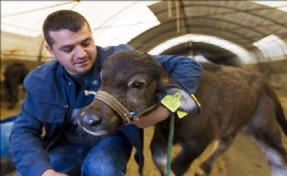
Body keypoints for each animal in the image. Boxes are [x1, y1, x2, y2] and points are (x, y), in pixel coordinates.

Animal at [77, 50, 287, 175]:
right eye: (102, 79)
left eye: (137, 84)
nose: (88, 120)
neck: (175, 121)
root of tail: (264, 82)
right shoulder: (161, 139)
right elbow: (162, 161)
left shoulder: (199, 141)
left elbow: (178, 166)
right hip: (233, 123)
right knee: (225, 143)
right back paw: (205, 168)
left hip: (264, 127)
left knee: (278, 158)